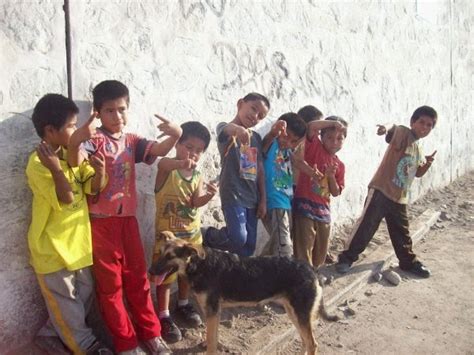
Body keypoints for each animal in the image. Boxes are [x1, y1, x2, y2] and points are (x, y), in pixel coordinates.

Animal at [150, 232, 338, 354]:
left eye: (170, 256)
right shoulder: (215, 312)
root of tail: (312, 270)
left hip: (300, 314)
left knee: (312, 344)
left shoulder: (212, 311)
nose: (150, 271)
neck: (199, 265)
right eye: (160, 253)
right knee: (305, 341)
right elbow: (213, 337)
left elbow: (211, 341)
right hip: (294, 313)